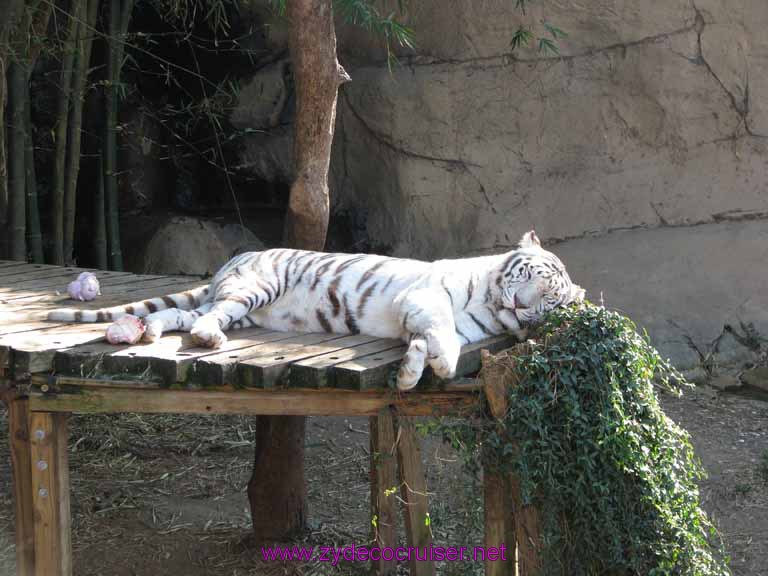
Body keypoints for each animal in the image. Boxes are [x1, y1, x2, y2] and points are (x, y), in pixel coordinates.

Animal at [49, 232, 584, 390]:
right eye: (527, 277)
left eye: (549, 301)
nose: (519, 304)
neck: (491, 306)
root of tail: (231, 262)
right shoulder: (425, 295)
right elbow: (440, 326)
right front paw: (436, 363)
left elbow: (434, 338)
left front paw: (414, 369)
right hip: (254, 288)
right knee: (205, 319)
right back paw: (206, 339)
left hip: (238, 307)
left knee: (185, 317)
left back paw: (148, 332)